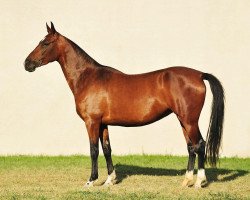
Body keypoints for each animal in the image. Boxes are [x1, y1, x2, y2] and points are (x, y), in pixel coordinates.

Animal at [24, 22, 226, 188]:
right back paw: (186, 181)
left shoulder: (91, 122)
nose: (27, 63)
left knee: (200, 144)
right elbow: (107, 149)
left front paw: (91, 181)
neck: (88, 77)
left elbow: (93, 150)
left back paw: (199, 182)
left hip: (190, 120)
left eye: (45, 43)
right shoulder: (103, 124)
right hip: (183, 120)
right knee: (191, 147)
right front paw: (109, 180)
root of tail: (199, 74)